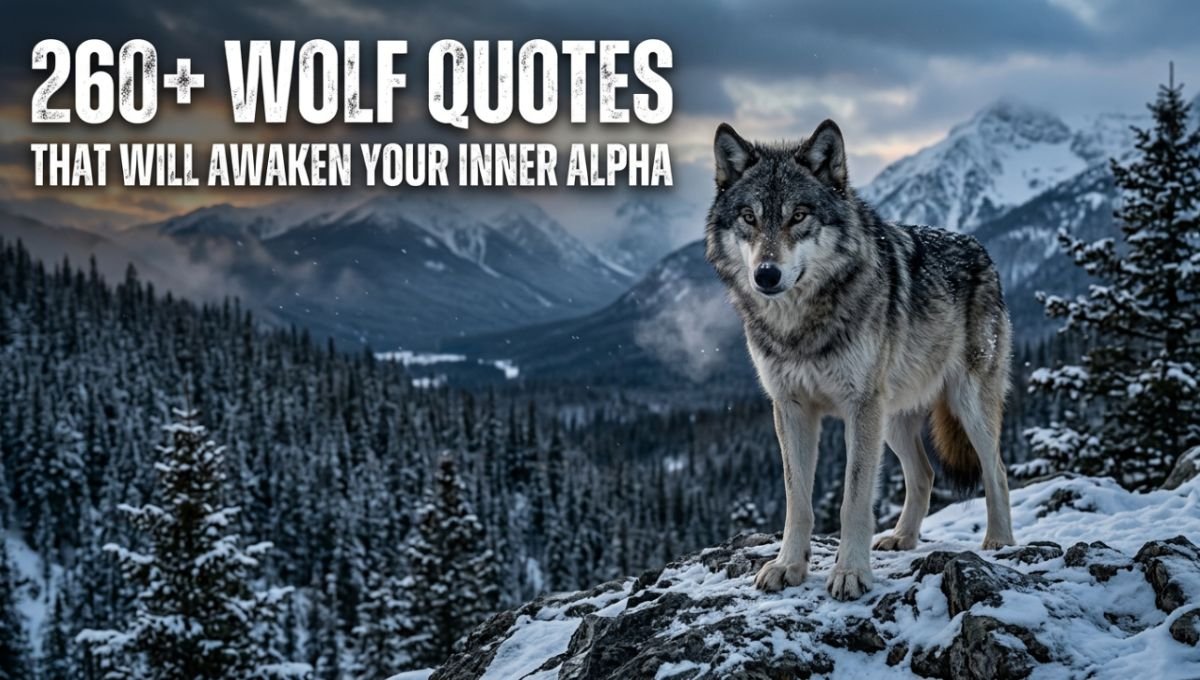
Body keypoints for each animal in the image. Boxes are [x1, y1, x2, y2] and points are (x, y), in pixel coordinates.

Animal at [705, 120, 1015, 601]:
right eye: (749, 218)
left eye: (799, 215)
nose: (766, 275)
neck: (800, 326)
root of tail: (979, 247)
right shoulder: (790, 408)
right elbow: (798, 500)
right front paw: (788, 565)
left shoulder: (860, 407)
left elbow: (853, 499)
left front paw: (851, 572)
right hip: (893, 419)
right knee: (925, 474)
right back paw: (902, 537)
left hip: (965, 404)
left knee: (996, 469)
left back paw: (999, 541)